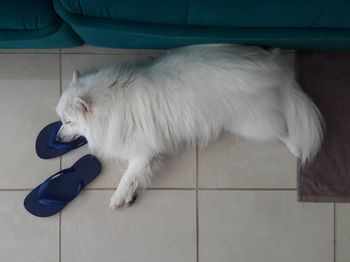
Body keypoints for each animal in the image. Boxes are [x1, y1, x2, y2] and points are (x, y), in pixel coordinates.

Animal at [56, 44, 322, 209]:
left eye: (68, 122)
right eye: (60, 120)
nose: (57, 138)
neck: (109, 104)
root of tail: (275, 67)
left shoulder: (144, 151)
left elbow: (128, 176)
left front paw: (118, 197)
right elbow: (135, 178)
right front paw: (129, 196)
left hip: (249, 123)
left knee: (281, 129)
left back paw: (296, 148)